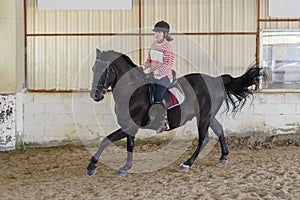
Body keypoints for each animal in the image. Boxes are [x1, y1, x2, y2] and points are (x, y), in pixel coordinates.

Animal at [86, 48, 264, 177]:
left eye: (105, 70)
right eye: (93, 68)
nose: (95, 95)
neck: (132, 90)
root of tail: (216, 80)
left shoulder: (130, 125)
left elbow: (106, 140)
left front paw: (91, 166)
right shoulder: (129, 125)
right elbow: (129, 145)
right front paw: (126, 167)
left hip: (204, 117)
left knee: (203, 139)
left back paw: (187, 163)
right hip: (208, 116)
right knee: (219, 130)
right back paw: (223, 157)